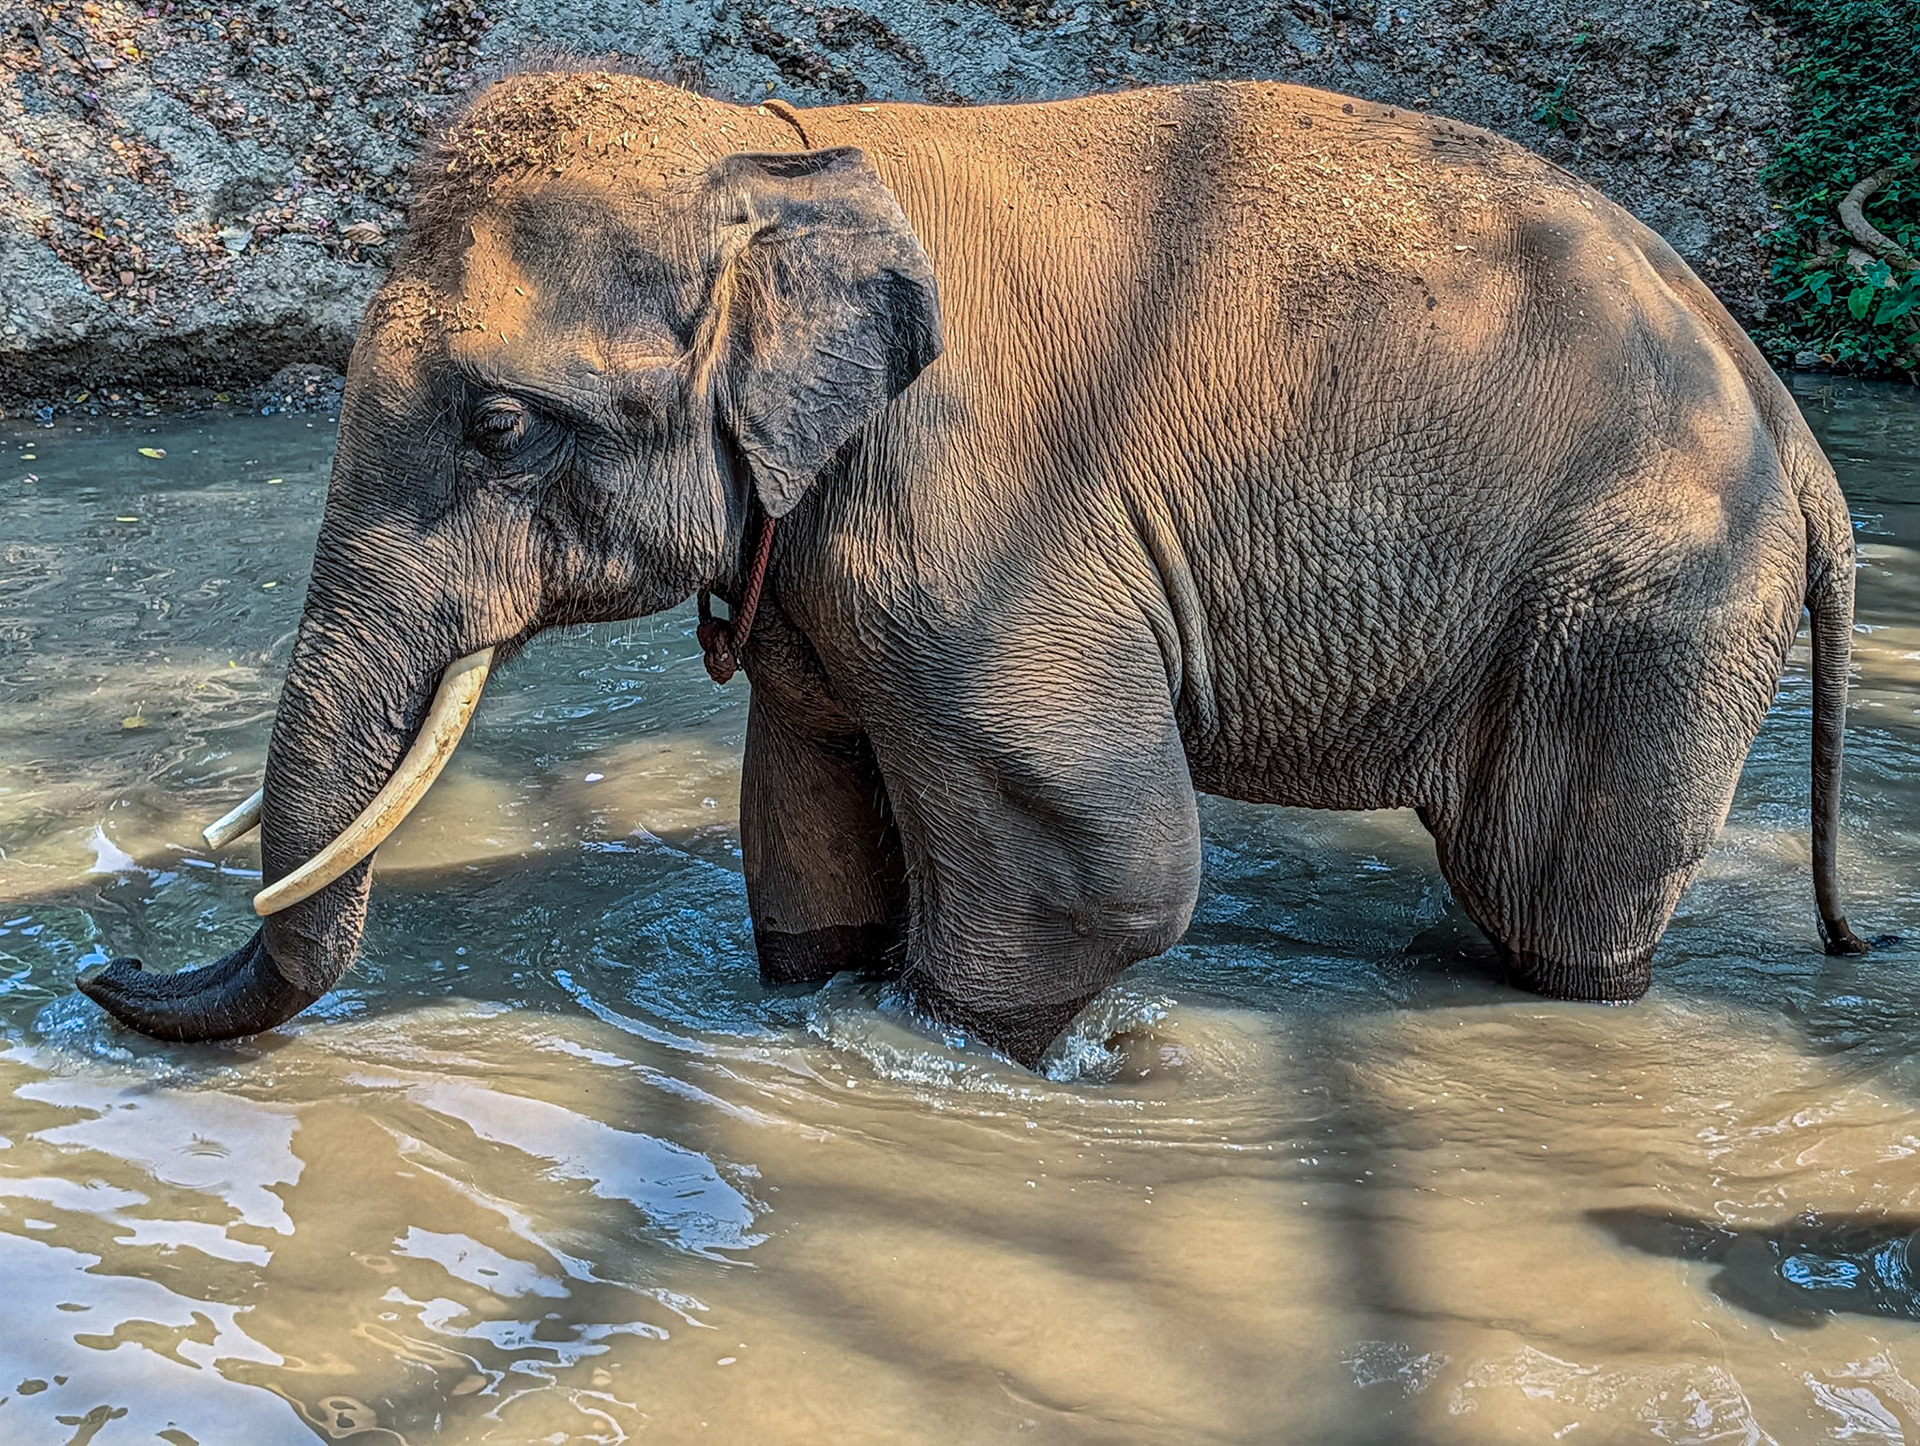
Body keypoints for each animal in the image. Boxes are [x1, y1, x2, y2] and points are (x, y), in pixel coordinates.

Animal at [79, 69, 1871, 1069]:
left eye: (501, 422)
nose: (101, 964)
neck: (767, 149)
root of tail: (1793, 425)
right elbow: (804, 824)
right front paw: (828, 988)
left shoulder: (978, 501)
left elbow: (1098, 863)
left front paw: (929, 1050)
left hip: (1647, 608)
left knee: (1552, 895)